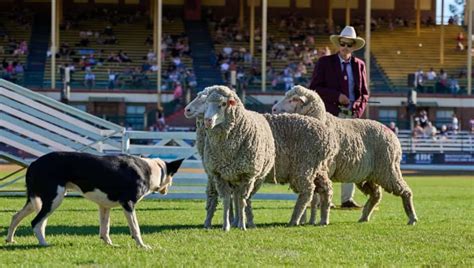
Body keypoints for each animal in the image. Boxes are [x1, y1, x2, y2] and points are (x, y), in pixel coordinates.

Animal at [5, 152, 183, 248]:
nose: (168, 189)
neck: (151, 169)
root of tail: (34, 163)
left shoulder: (104, 206)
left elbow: (105, 229)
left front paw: (110, 245)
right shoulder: (128, 204)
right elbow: (136, 229)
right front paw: (143, 246)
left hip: (36, 200)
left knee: (16, 217)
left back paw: (10, 239)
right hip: (54, 199)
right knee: (36, 222)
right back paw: (43, 243)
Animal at [274, 85, 418, 224]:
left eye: (293, 99)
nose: (274, 109)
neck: (322, 121)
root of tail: (392, 133)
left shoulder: (320, 169)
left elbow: (315, 198)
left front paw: (312, 220)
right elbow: (313, 196)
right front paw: (307, 220)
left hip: (388, 169)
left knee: (405, 191)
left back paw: (412, 217)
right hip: (366, 175)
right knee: (376, 195)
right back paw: (364, 217)